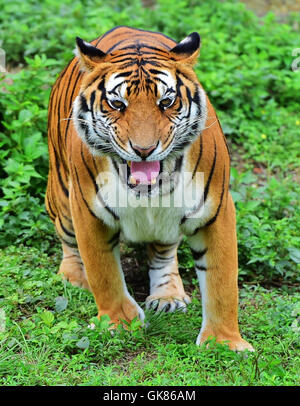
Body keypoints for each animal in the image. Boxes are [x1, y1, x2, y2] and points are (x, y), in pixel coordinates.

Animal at [46, 25, 253, 350]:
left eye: (166, 102)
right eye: (117, 104)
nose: (144, 150)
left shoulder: (215, 210)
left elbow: (222, 282)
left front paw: (225, 343)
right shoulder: (87, 211)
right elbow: (104, 275)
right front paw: (118, 323)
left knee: (164, 251)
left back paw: (168, 296)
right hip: (62, 198)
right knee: (68, 242)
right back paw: (74, 278)